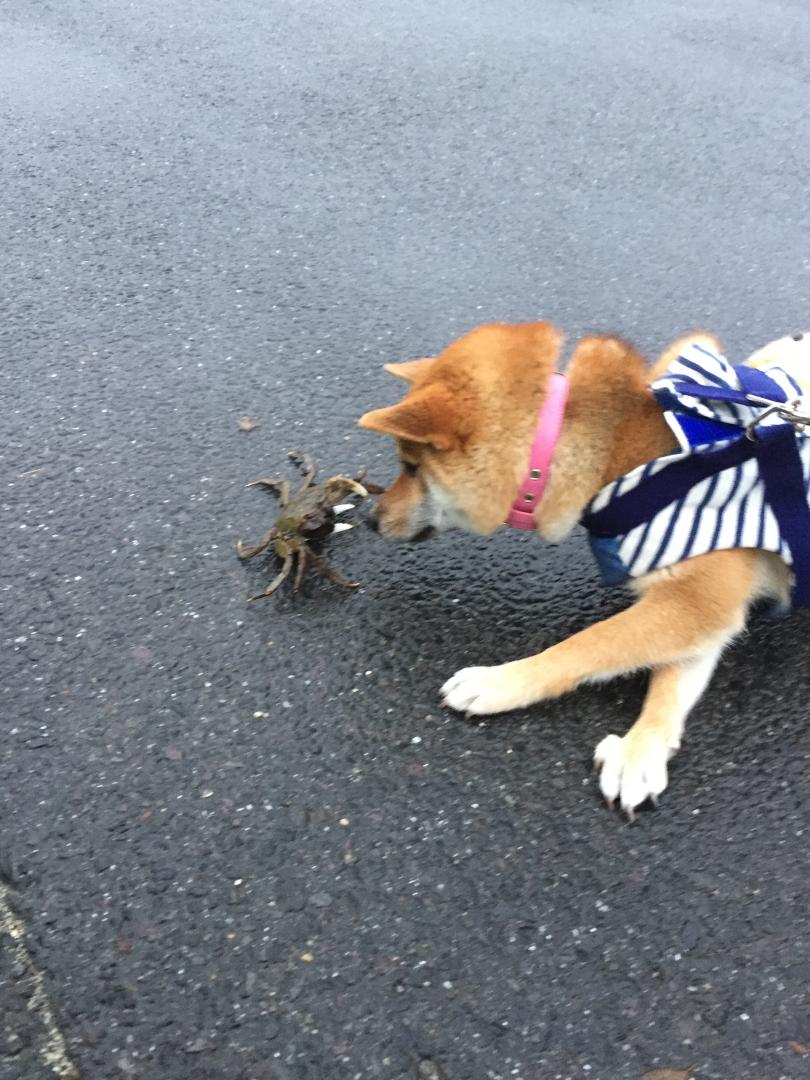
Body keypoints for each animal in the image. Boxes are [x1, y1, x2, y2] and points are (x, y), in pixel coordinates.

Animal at [360, 324, 810, 812]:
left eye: (411, 467)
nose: (371, 520)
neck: (623, 452)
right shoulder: (705, 607)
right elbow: (671, 679)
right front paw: (643, 750)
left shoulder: (696, 601)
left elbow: (586, 646)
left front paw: (498, 682)